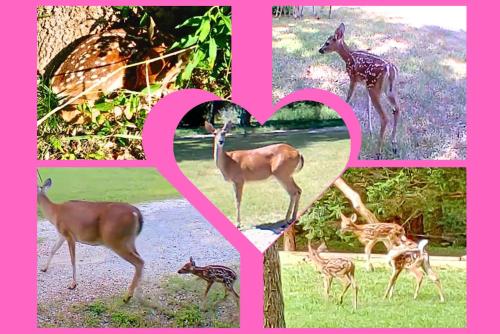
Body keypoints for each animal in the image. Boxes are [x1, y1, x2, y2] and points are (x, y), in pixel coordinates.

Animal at [320, 22, 402, 159]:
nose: (320, 50)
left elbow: (348, 97)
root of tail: (390, 69)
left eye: (327, 42)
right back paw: (394, 145)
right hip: (387, 89)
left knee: (385, 117)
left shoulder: (353, 78)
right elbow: (367, 106)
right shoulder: (365, 84)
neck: (348, 57)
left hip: (375, 87)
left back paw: (378, 152)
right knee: (397, 109)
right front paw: (370, 132)